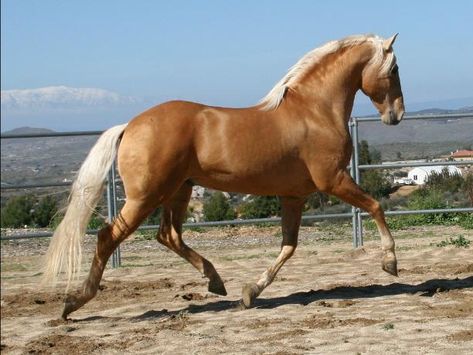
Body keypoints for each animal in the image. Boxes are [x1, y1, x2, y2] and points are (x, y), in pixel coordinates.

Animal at [44, 34, 404, 322]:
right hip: (145, 196)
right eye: (394, 69)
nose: (397, 115)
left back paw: (215, 282)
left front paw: (250, 292)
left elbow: (288, 246)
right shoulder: (333, 180)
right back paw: (73, 303)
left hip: (178, 191)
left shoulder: (293, 196)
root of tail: (130, 125)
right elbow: (375, 207)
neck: (314, 111)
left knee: (168, 235)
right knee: (108, 237)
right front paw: (390, 262)